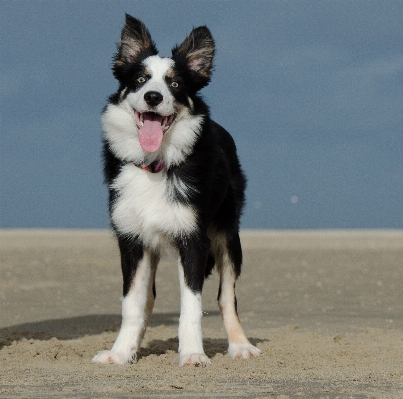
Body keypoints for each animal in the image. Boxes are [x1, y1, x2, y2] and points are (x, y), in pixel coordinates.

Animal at [92, 14, 260, 368]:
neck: (155, 164)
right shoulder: (131, 240)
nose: (153, 97)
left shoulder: (194, 240)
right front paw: (120, 352)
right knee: (149, 300)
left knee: (227, 297)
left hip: (228, 234)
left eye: (176, 84)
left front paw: (193, 354)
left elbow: (192, 307)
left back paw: (240, 346)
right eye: (140, 80)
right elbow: (132, 304)